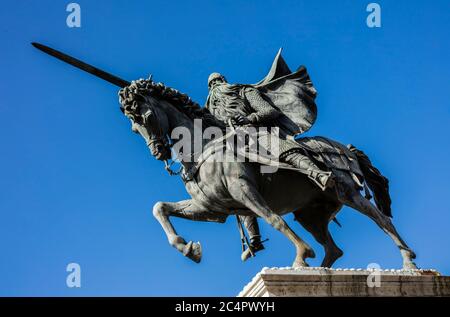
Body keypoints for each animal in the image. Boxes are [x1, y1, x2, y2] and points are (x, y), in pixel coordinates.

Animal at [118, 79, 416, 270]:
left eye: (146, 117)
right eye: (134, 128)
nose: (158, 152)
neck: (204, 147)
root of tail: (345, 148)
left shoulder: (245, 192)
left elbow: (274, 219)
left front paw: (303, 251)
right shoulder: (212, 208)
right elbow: (160, 208)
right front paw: (188, 248)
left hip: (347, 191)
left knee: (381, 220)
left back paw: (408, 261)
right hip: (311, 214)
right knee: (333, 249)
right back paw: (314, 270)